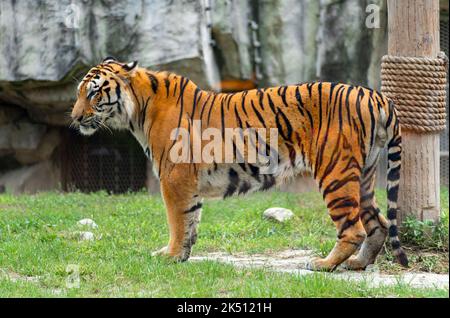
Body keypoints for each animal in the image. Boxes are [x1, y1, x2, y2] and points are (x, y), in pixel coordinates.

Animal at [69, 57, 408, 270]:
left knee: (354, 228)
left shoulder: (174, 178)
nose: (74, 117)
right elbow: (190, 220)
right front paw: (181, 255)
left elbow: (177, 221)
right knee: (378, 223)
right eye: (78, 93)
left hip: (334, 171)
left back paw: (324, 264)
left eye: (94, 92)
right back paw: (357, 264)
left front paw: (170, 255)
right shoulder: (187, 184)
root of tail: (375, 95)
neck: (138, 109)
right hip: (363, 175)